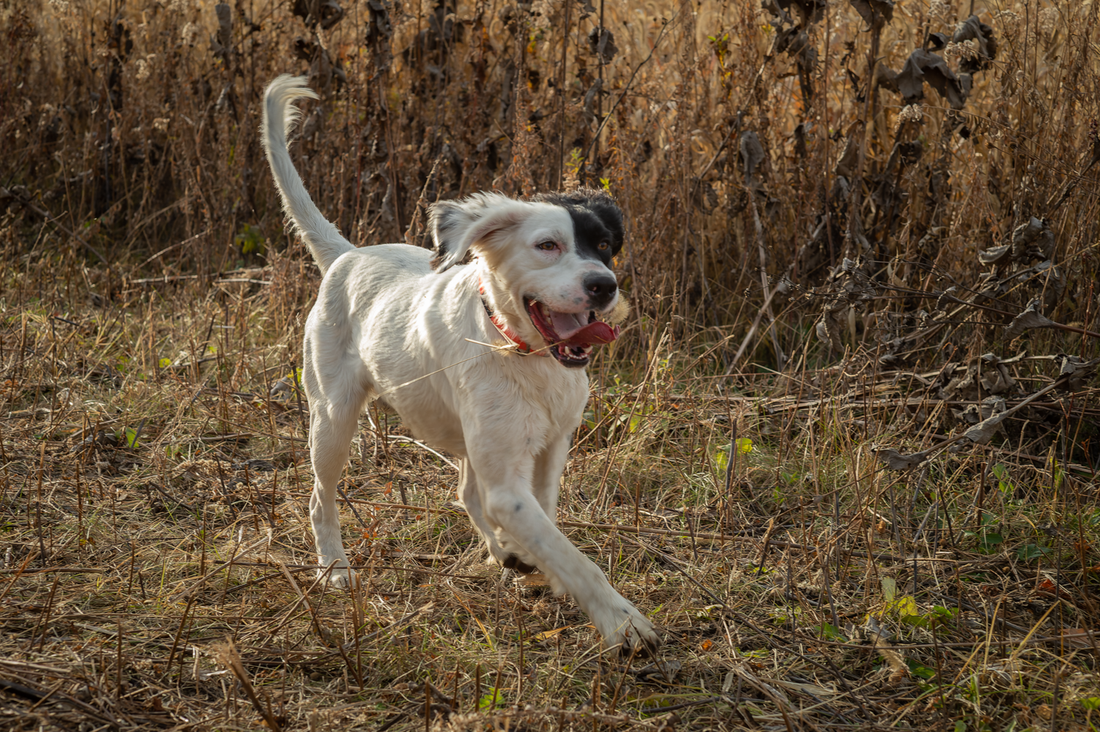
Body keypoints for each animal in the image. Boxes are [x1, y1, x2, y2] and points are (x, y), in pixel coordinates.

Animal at [264, 75, 660, 656]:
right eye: (547, 245)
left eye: (605, 245)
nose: (603, 287)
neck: (523, 353)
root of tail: (349, 255)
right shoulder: (508, 484)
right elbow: (570, 553)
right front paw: (621, 620)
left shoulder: (549, 450)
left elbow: (547, 525)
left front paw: (534, 565)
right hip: (332, 418)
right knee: (321, 497)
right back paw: (334, 568)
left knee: (467, 493)